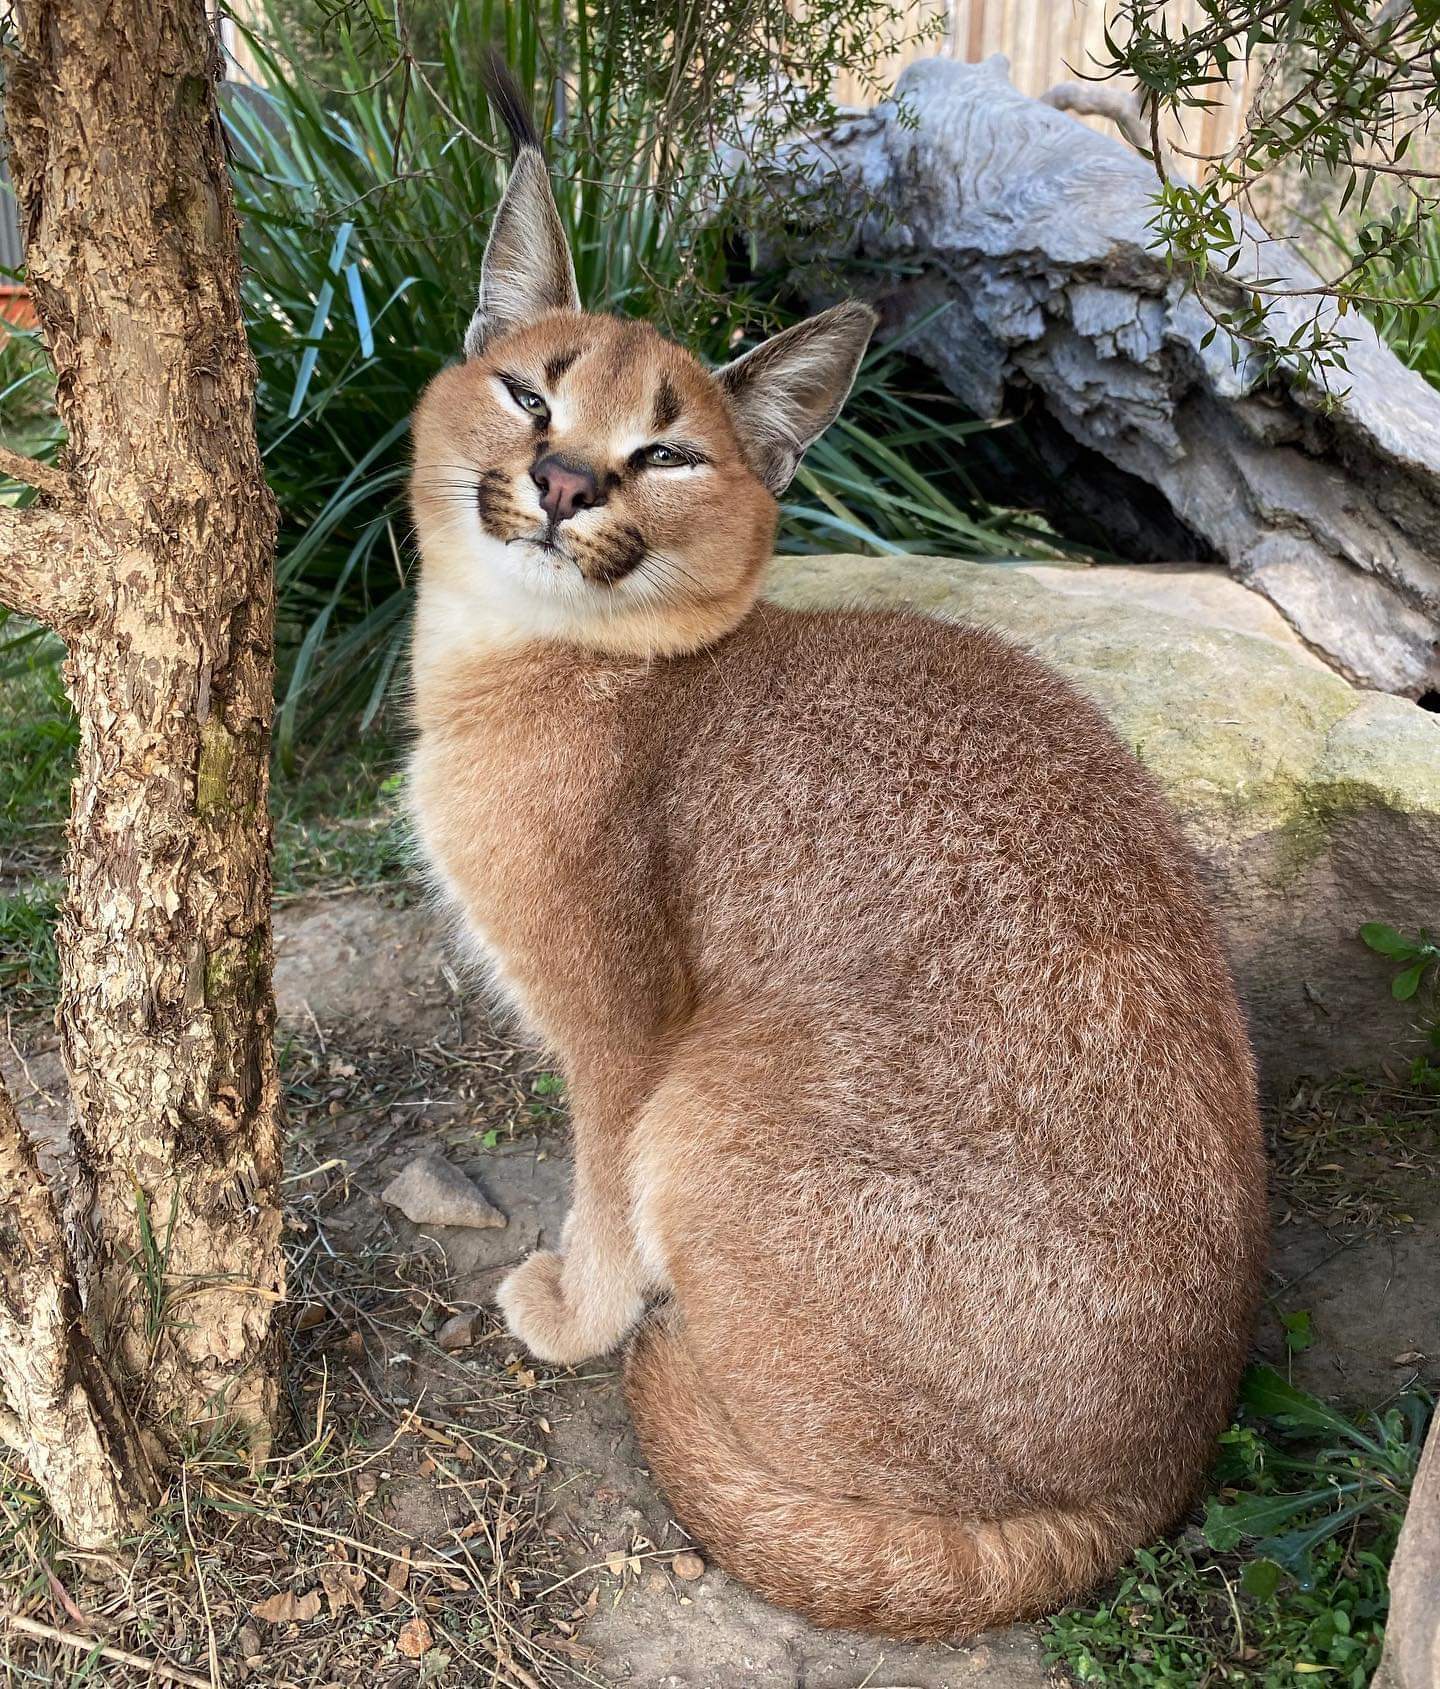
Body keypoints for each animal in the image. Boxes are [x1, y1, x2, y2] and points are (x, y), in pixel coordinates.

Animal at [401, 72, 1255, 1641]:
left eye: (667, 453)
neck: (520, 654)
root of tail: (1150, 1487)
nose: (560, 480)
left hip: (718, 1100)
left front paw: (576, 1313)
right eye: (529, 392)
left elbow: (598, 1177)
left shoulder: (621, 1032)